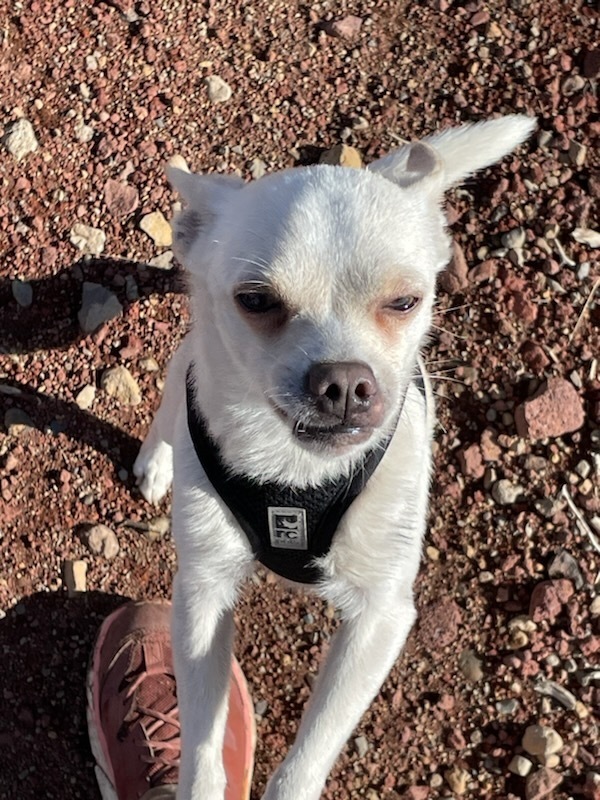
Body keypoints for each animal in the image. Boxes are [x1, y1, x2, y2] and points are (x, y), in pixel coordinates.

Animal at [135, 114, 536, 800]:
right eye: (256, 300)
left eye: (405, 301)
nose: (345, 382)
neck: (297, 476)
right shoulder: (202, 591)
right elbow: (202, 747)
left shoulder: (380, 616)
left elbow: (305, 760)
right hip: (179, 378)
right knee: (166, 414)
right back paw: (157, 462)